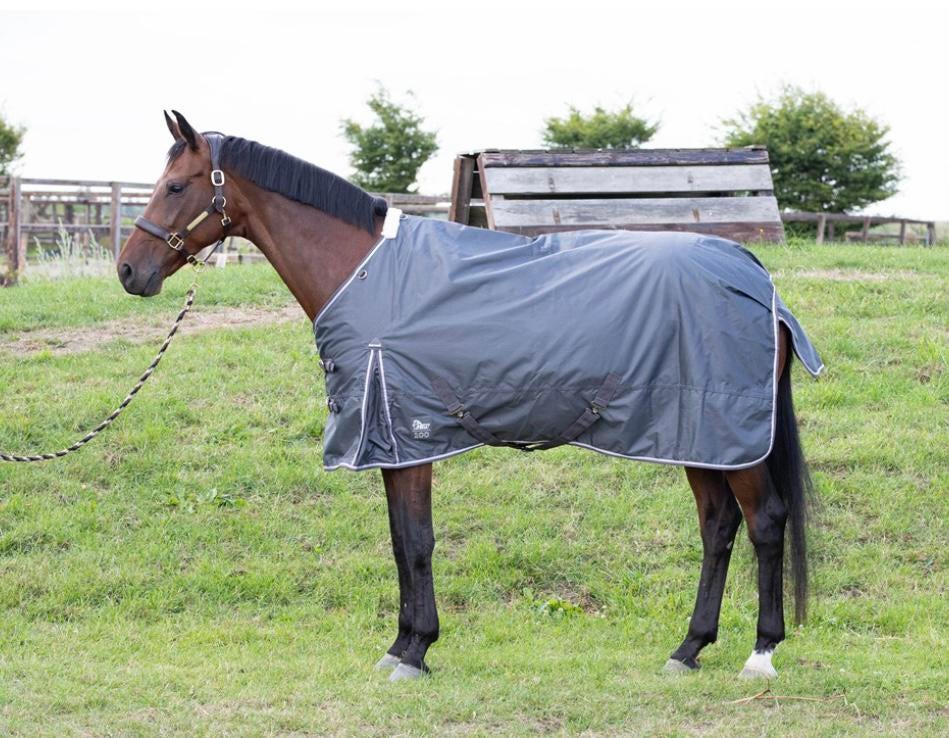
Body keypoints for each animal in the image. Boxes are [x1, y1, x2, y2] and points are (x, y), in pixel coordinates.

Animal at [118, 111, 819, 682]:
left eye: (175, 186)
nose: (129, 270)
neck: (366, 272)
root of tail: (758, 278)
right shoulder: (395, 441)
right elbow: (400, 540)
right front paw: (401, 647)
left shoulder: (409, 435)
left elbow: (417, 542)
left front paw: (416, 652)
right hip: (697, 435)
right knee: (717, 526)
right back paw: (688, 649)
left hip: (730, 436)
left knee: (764, 521)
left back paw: (760, 654)